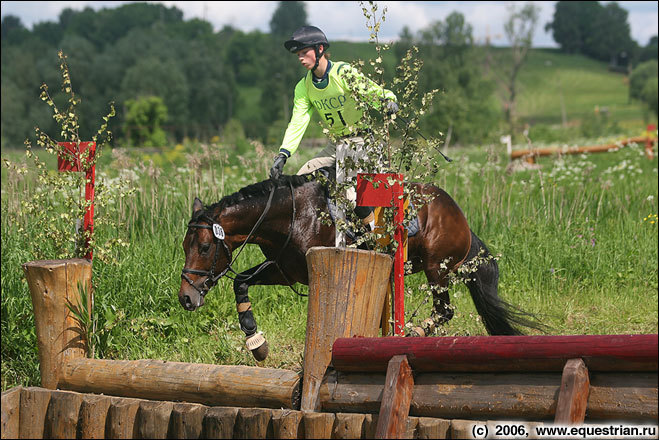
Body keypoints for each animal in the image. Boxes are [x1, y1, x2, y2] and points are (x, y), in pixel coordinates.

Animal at [178, 170, 544, 360]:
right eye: (185, 246)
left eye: (206, 247)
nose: (186, 298)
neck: (293, 215)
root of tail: (459, 214)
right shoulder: (284, 270)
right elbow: (240, 281)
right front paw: (257, 343)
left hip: (437, 268)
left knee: (444, 310)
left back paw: (412, 332)